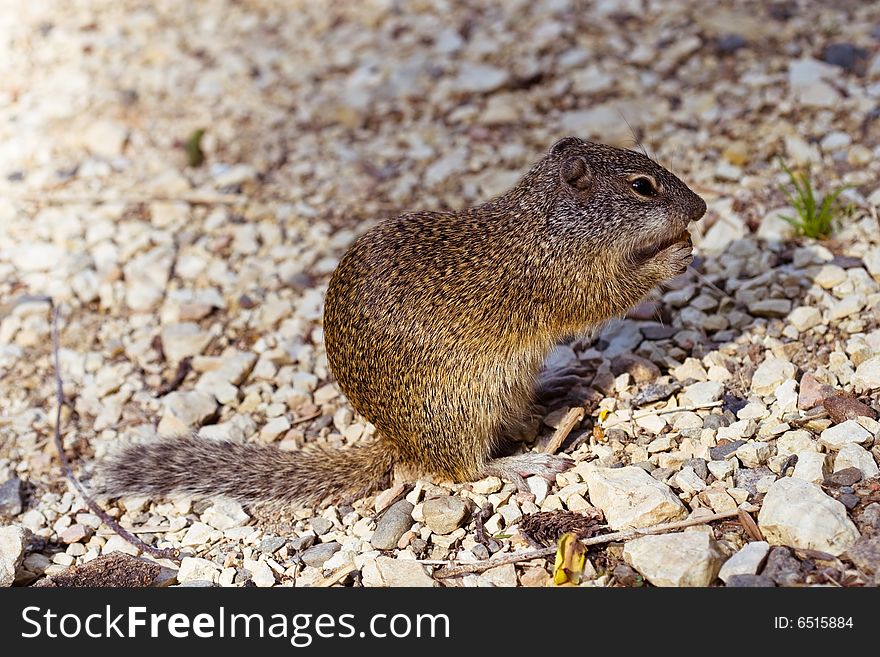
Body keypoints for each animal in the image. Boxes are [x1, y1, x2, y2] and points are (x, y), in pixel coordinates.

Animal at [94, 137, 708, 508]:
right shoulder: (568, 281)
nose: (700, 208)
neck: (550, 221)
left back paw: (555, 384)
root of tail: (396, 441)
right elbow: (611, 295)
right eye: (642, 186)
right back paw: (524, 464)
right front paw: (673, 254)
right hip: (459, 411)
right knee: (463, 470)